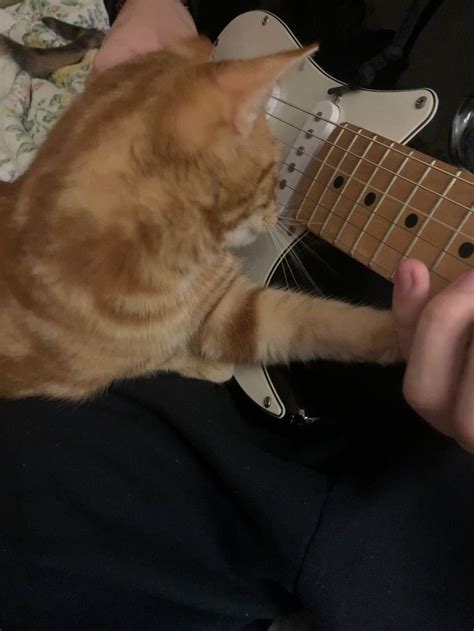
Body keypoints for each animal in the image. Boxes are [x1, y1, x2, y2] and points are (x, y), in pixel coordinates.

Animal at [0, 35, 400, 400]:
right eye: (275, 171)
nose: (278, 212)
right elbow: (159, 357)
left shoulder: (230, 307)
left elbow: (323, 321)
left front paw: (408, 328)